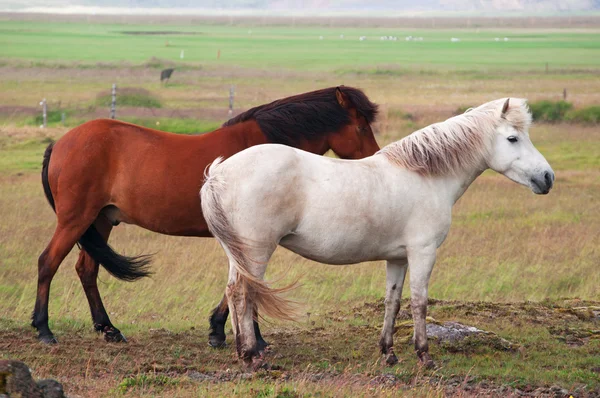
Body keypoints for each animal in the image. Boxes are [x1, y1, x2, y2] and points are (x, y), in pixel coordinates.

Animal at [32, 85, 380, 346]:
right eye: (361, 127)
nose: (374, 160)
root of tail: (61, 142)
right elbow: (250, 279)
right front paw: (242, 335)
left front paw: (218, 331)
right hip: (76, 219)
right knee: (48, 262)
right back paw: (44, 329)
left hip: (101, 220)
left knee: (86, 270)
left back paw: (109, 329)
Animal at [200, 98, 552, 368]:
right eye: (513, 139)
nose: (547, 177)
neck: (425, 175)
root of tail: (218, 173)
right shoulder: (423, 252)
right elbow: (420, 302)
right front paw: (424, 356)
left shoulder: (398, 258)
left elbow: (392, 302)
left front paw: (389, 353)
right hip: (257, 251)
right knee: (243, 294)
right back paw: (252, 356)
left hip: (239, 254)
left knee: (234, 292)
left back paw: (243, 351)